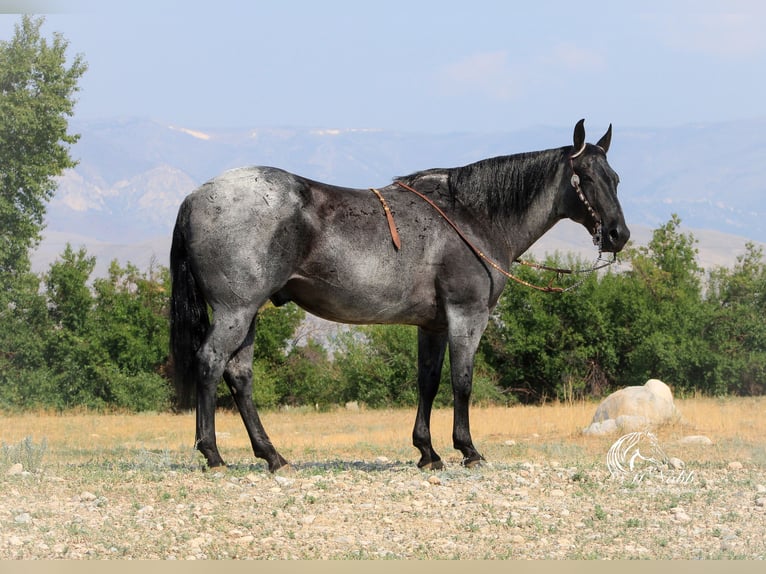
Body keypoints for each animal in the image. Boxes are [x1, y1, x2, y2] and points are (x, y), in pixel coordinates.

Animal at [170, 120, 632, 472]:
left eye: (615, 178)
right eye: (586, 178)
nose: (618, 235)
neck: (473, 217)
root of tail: (196, 196)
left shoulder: (433, 325)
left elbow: (428, 381)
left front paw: (427, 452)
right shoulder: (467, 315)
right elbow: (462, 381)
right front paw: (468, 450)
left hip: (248, 314)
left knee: (239, 375)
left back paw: (272, 456)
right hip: (235, 310)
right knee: (211, 363)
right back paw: (213, 454)